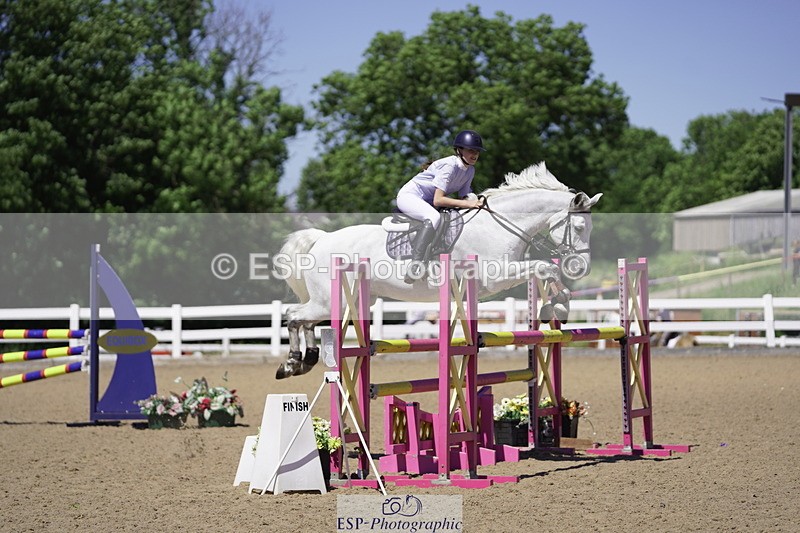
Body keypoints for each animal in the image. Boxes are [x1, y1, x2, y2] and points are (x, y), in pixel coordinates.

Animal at [275, 162, 602, 378]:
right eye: (579, 226)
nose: (581, 266)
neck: (499, 225)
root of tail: (321, 238)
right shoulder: (497, 276)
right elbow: (545, 266)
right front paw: (558, 306)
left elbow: (545, 272)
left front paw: (557, 306)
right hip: (334, 300)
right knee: (294, 316)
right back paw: (291, 362)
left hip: (350, 301)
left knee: (304, 320)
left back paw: (306, 360)